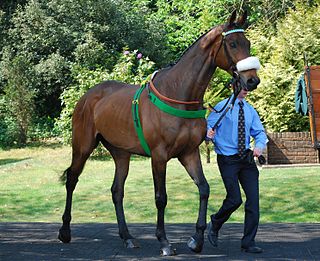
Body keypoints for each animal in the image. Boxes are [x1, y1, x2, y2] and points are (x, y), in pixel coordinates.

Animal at [58, 10, 260, 254]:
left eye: (247, 43)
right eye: (232, 43)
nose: (252, 80)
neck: (178, 94)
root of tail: (88, 96)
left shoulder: (189, 153)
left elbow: (204, 188)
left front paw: (197, 239)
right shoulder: (159, 156)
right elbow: (161, 197)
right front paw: (164, 241)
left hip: (121, 153)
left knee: (117, 191)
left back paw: (127, 236)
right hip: (82, 147)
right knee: (72, 180)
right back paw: (65, 231)